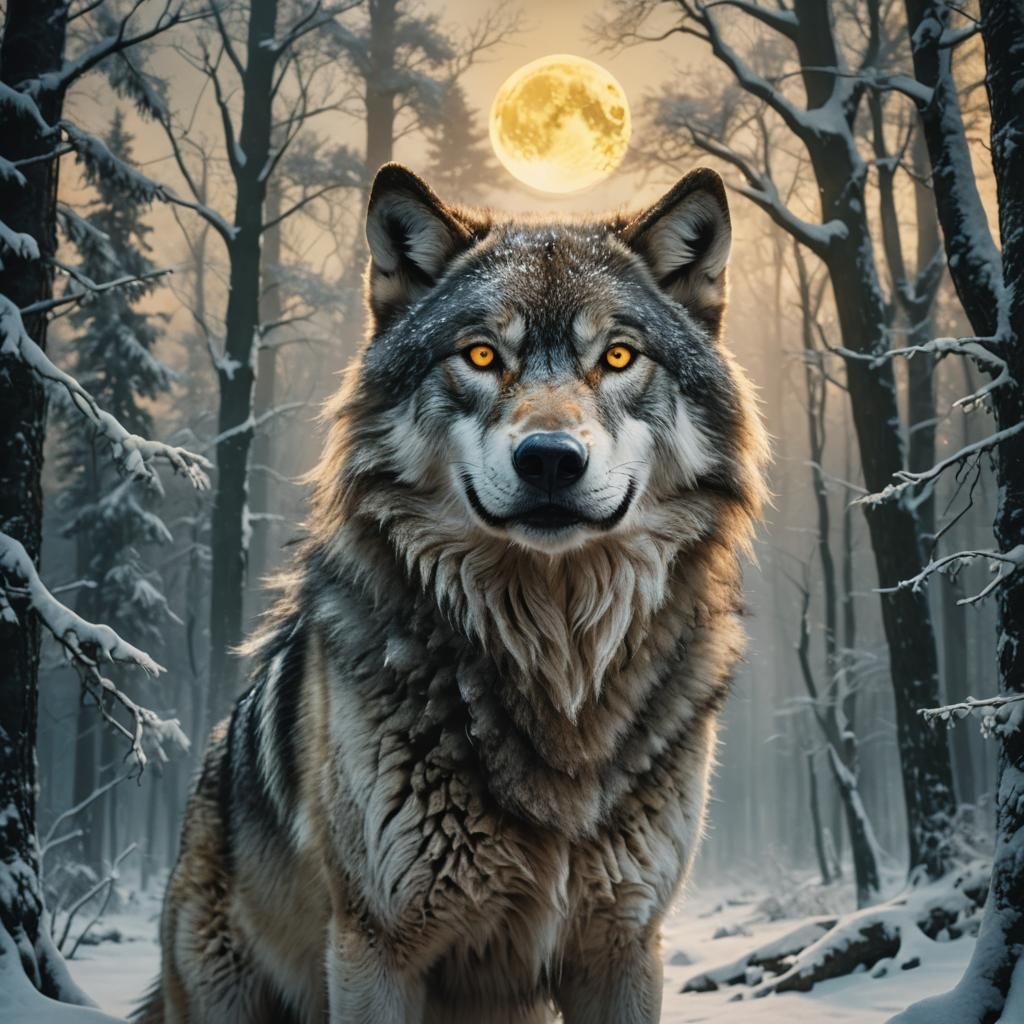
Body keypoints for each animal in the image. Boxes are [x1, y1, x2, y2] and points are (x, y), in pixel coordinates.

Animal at [138, 162, 767, 1024]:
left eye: (616, 356)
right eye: (479, 355)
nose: (549, 458)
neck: (554, 663)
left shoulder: (623, 949)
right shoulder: (375, 948)